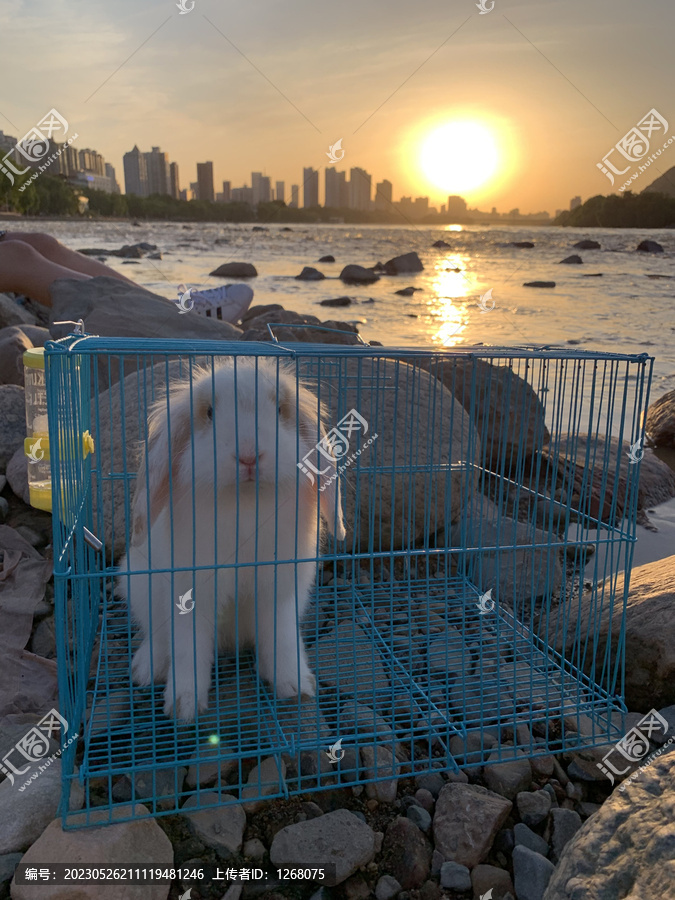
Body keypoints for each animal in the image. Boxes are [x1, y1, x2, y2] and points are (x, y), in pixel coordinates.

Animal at [116, 356, 346, 720]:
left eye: (280, 409)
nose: (249, 456)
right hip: (138, 586)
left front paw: (295, 687)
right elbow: (187, 649)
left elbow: (282, 638)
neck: (245, 503)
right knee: (157, 636)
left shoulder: (280, 593)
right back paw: (145, 669)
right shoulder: (189, 594)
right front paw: (183, 705)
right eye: (209, 412)